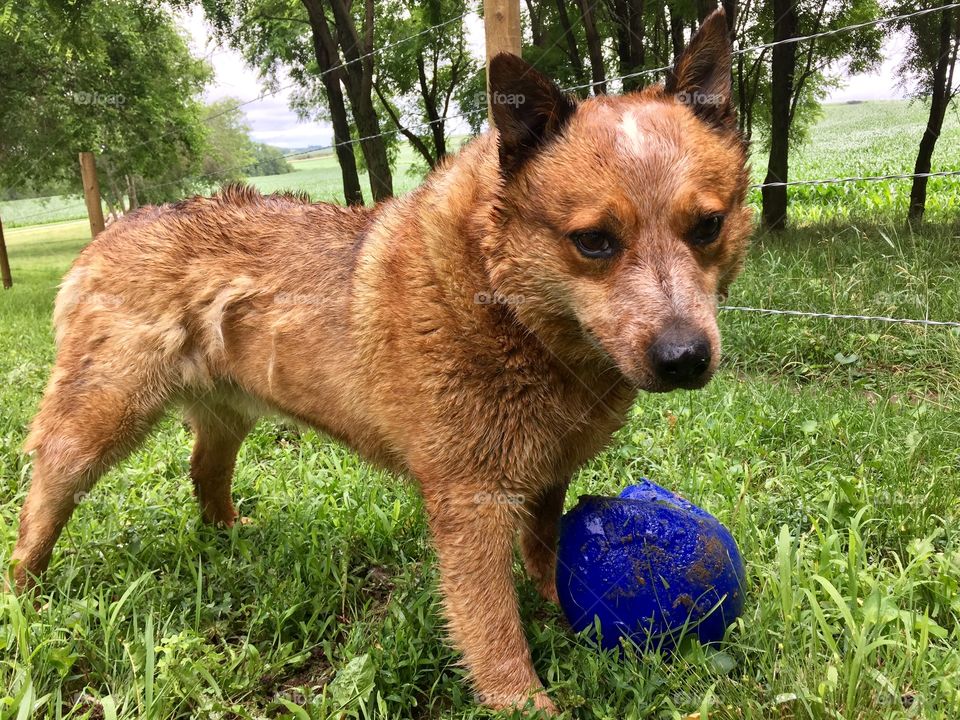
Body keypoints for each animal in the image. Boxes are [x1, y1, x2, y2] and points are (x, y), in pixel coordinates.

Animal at [11, 11, 752, 716]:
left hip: (225, 412)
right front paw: (520, 701)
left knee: (204, 471)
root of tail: (108, 230)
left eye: (708, 226)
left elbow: (545, 549)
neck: (505, 305)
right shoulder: (470, 499)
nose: (684, 357)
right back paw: (24, 590)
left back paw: (229, 535)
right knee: (47, 488)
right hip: (99, 419)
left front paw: (558, 607)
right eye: (594, 241)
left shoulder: (546, 472)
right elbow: (489, 621)